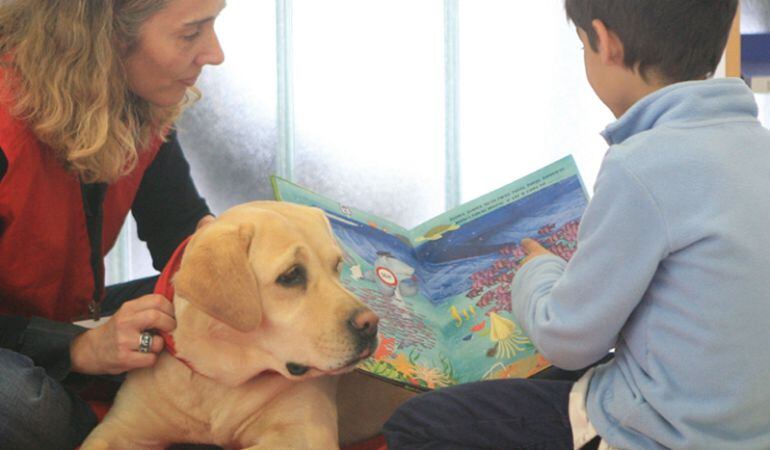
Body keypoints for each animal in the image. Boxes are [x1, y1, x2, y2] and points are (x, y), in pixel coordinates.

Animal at [81, 203, 412, 450]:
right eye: (291, 275)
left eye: (337, 266)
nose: (370, 325)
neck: (218, 379)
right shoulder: (118, 428)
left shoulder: (303, 435)